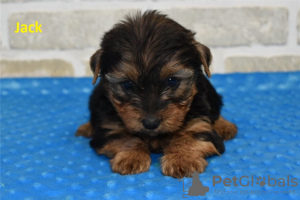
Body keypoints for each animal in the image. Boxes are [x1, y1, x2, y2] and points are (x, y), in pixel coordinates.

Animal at [76, 10, 238, 178]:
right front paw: (131, 157)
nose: (151, 123)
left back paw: (224, 126)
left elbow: (189, 136)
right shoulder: (109, 127)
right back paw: (87, 127)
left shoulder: (199, 123)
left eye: (172, 81)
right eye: (127, 84)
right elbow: (124, 136)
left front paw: (182, 159)